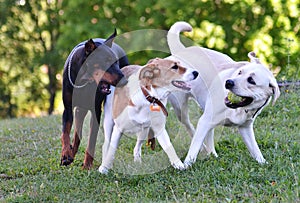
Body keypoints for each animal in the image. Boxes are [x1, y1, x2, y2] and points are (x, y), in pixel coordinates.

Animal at [60, 30, 128, 169]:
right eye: (106, 62)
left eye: (117, 63)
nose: (124, 80)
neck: (83, 80)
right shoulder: (67, 109)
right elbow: (65, 133)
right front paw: (65, 154)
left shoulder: (96, 110)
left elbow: (91, 140)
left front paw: (87, 165)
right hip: (80, 110)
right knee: (77, 134)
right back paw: (71, 154)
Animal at [165, 21, 280, 167]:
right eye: (240, 72)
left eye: (251, 80)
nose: (229, 82)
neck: (238, 110)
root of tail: (181, 51)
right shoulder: (205, 121)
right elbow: (194, 147)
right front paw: (187, 165)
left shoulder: (245, 127)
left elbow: (255, 149)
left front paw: (263, 163)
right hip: (181, 108)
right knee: (189, 126)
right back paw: (204, 149)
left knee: (208, 134)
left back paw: (212, 154)